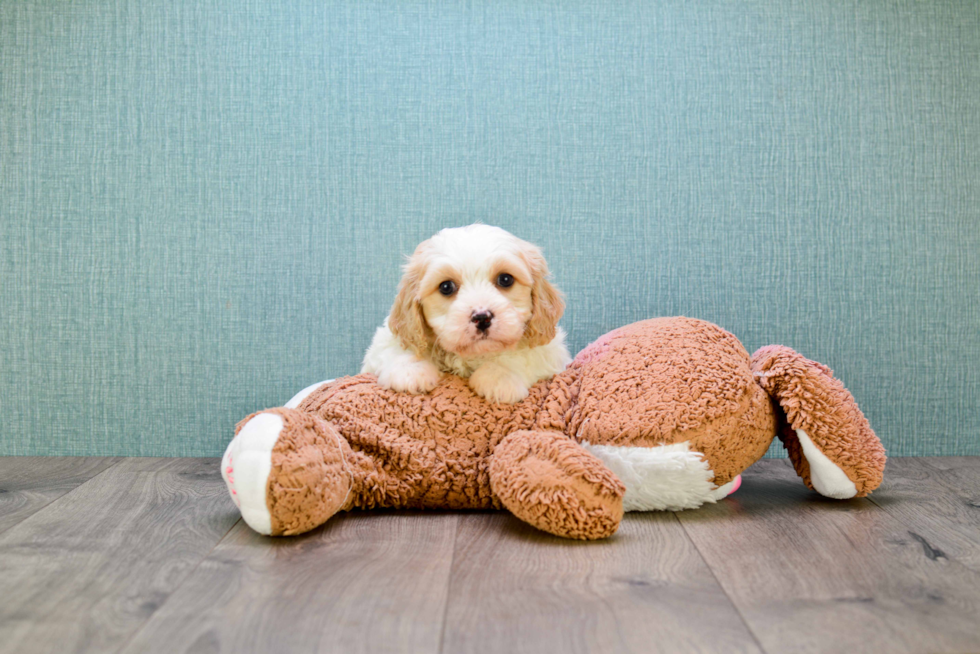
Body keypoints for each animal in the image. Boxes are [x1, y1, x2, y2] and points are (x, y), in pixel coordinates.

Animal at [364, 228, 572, 408]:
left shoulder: (551, 352)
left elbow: (524, 354)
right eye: (446, 287)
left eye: (506, 279)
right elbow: (399, 345)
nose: (482, 317)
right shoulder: (384, 342)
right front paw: (410, 371)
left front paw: (499, 376)